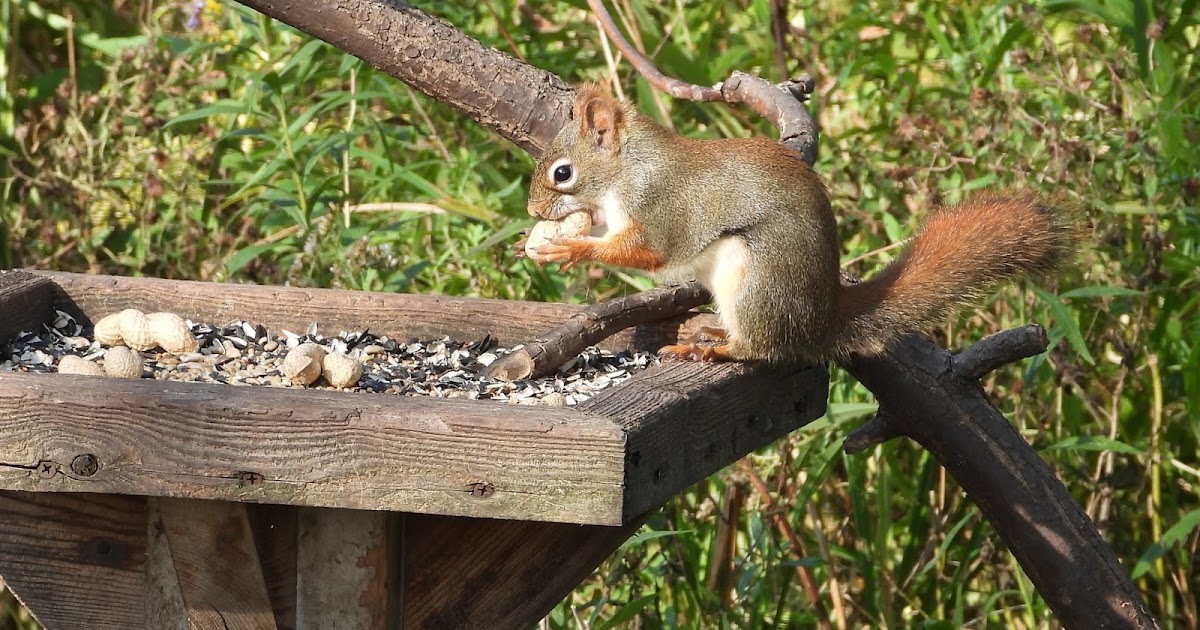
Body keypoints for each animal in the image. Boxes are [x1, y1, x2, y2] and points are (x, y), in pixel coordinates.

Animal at [525, 86, 1075, 365]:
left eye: (562, 173)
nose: (531, 211)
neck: (628, 170)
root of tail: (821, 318)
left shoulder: (662, 208)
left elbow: (647, 251)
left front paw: (569, 249)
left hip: (758, 279)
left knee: (764, 350)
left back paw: (716, 347)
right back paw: (709, 328)